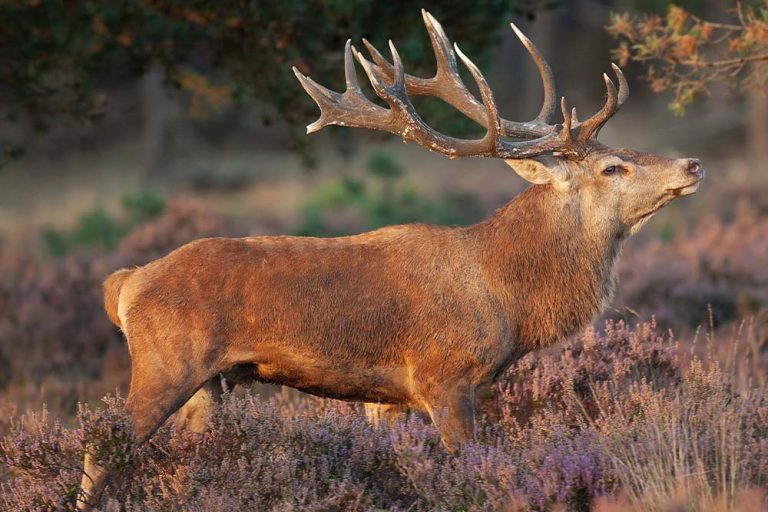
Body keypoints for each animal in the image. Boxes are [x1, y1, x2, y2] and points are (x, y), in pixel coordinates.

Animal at [77, 10, 704, 509]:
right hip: (165, 364)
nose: (692, 164)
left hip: (212, 384)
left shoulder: (388, 398)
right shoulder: (445, 377)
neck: (507, 294)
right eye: (612, 167)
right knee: (99, 449)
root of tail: (125, 283)